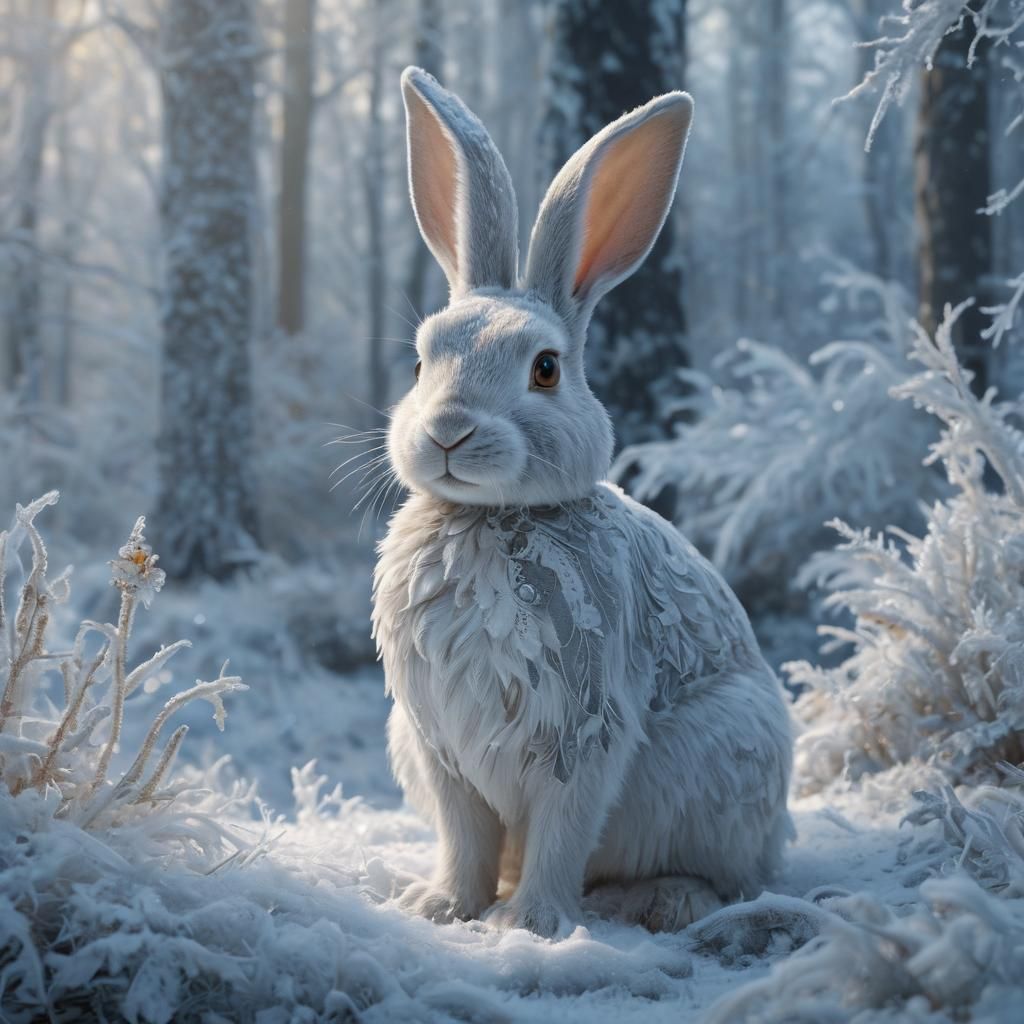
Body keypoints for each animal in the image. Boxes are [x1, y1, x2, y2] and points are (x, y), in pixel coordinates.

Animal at [372, 66, 794, 938]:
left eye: (545, 369)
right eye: (424, 361)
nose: (449, 432)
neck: (491, 519)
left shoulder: (583, 732)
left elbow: (562, 834)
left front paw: (529, 925)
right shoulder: (439, 742)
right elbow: (464, 838)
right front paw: (442, 908)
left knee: (725, 880)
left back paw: (661, 901)